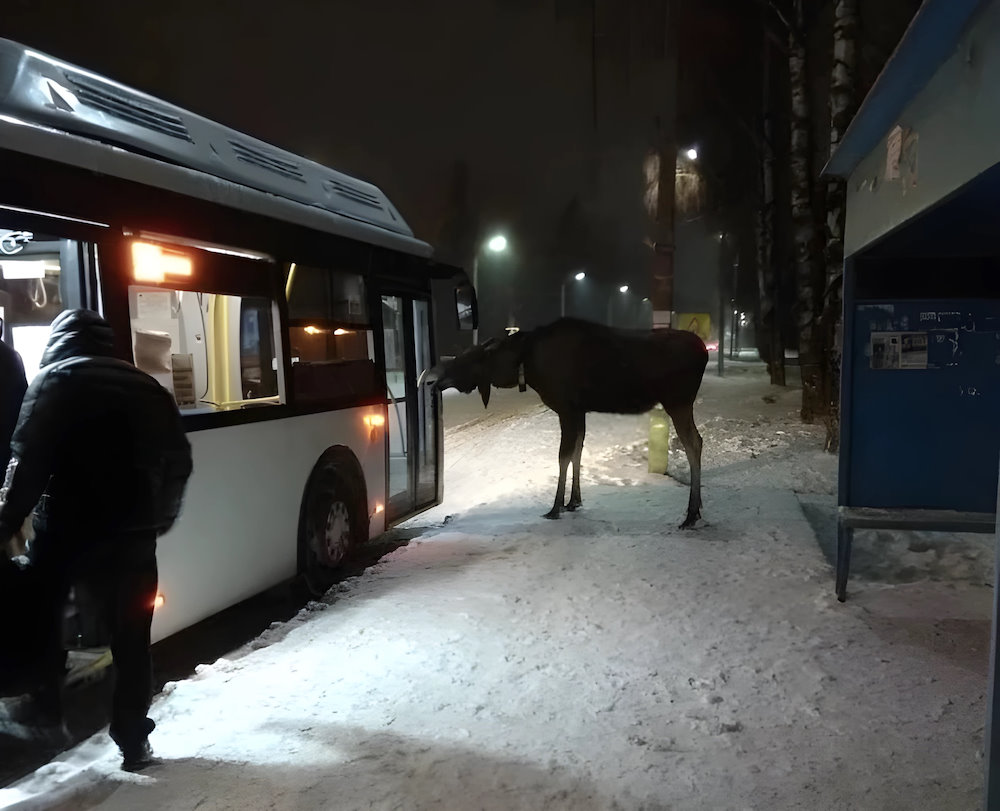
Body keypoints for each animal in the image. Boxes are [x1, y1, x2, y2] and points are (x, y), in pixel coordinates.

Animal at [426, 318, 708, 528]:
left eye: (470, 358)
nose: (433, 379)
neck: (525, 365)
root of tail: (704, 352)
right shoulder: (578, 412)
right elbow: (577, 453)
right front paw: (574, 501)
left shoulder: (566, 410)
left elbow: (563, 456)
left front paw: (555, 506)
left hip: (678, 401)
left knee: (694, 443)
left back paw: (692, 513)